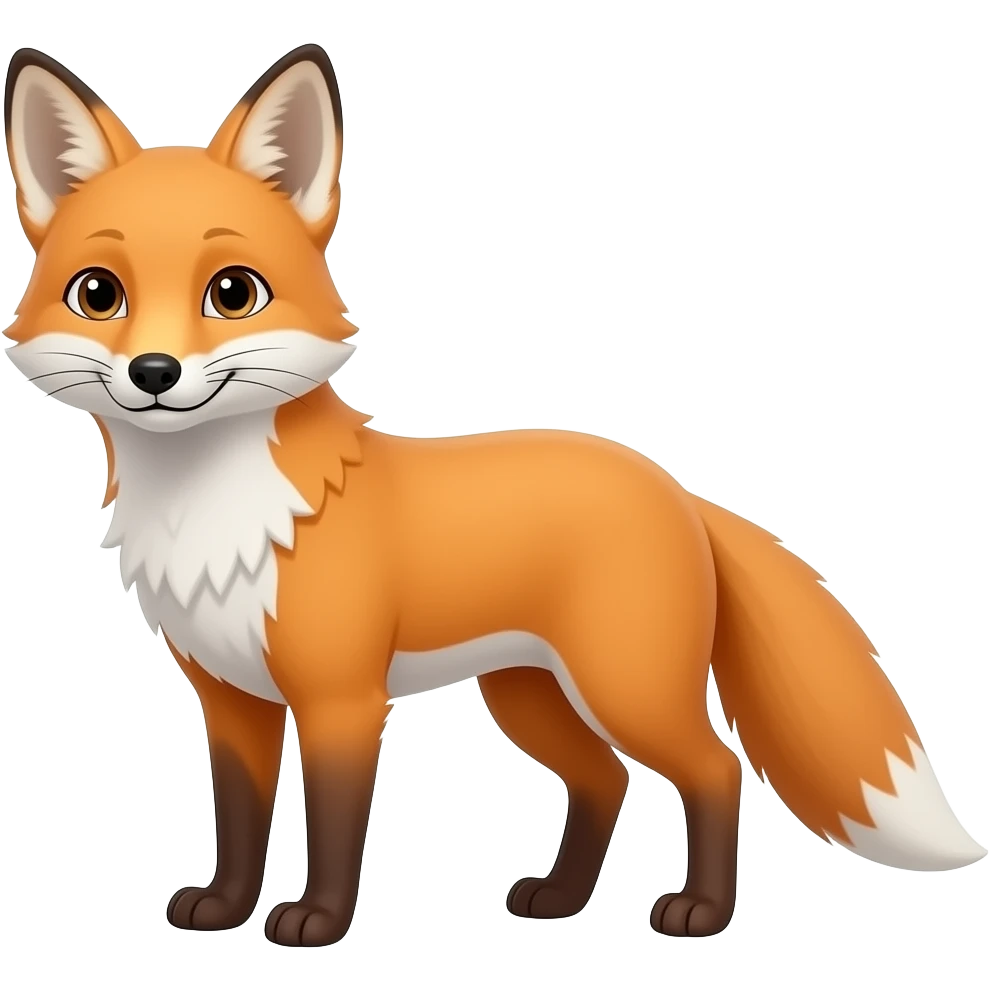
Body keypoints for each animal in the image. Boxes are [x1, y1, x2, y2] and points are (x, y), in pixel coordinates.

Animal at [2, 42, 985, 947]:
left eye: (233, 292)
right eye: (99, 293)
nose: (153, 372)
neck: (213, 510)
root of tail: (675, 487)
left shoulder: (341, 700)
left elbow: (334, 828)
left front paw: (317, 920)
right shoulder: (231, 700)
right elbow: (240, 822)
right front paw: (224, 909)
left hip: (624, 686)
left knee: (714, 770)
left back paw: (700, 912)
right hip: (530, 696)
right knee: (604, 780)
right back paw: (560, 899)